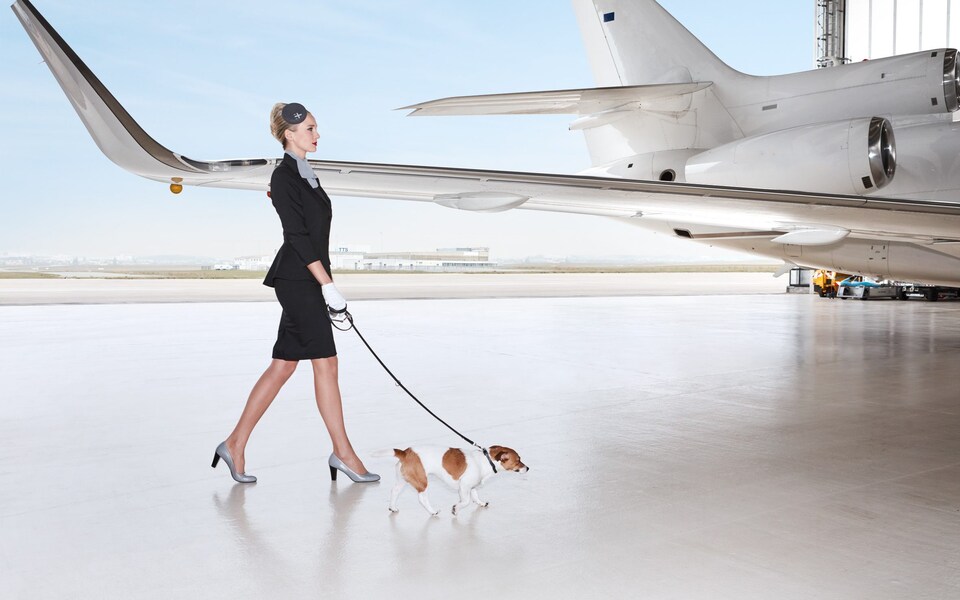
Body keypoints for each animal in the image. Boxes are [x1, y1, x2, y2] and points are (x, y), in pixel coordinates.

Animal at [382, 446, 528, 516]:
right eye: (518, 460)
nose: (528, 468)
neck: (486, 461)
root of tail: (405, 452)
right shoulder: (464, 487)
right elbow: (466, 501)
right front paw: (455, 509)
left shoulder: (471, 486)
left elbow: (475, 496)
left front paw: (481, 503)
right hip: (421, 481)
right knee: (422, 498)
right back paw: (433, 512)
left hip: (403, 480)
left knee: (394, 491)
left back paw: (392, 507)